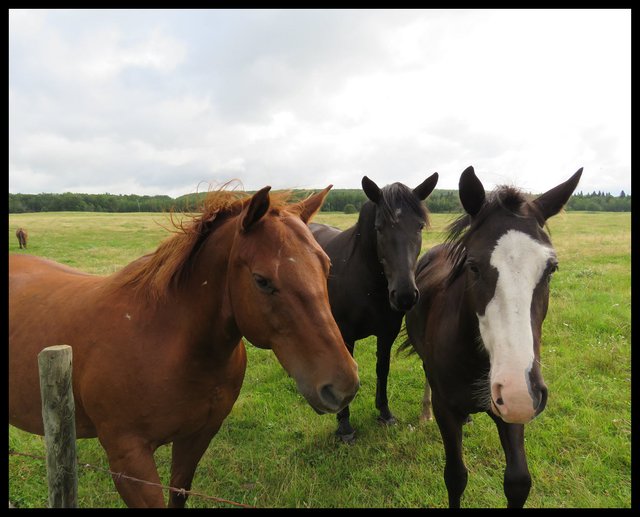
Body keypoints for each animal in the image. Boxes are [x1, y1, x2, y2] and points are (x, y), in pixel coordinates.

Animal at [8, 183, 360, 506]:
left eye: (327, 267)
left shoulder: (196, 438)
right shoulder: (128, 461)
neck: (167, 343)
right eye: (262, 280)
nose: (343, 386)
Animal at [308, 172, 438, 440]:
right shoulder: (345, 335)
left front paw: (385, 414)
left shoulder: (386, 334)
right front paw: (344, 427)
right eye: (379, 228)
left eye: (419, 226)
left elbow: (382, 369)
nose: (405, 295)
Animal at [408, 166, 584, 508]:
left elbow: (518, 481)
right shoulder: (446, 410)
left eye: (551, 268)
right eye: (473, 267)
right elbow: (456, 477)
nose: (517, 391)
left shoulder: (513, 413)